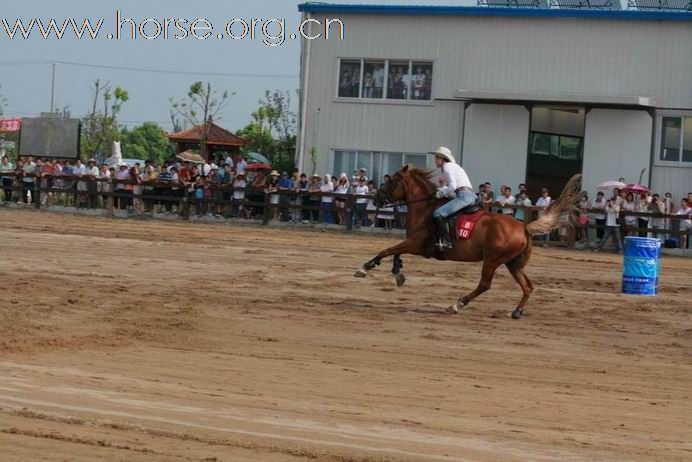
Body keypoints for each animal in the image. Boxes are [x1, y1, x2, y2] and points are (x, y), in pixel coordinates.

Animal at [354, 167, 580, 322]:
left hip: (492, 260)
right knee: (528, 286)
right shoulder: (415, 246)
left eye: (391, 181)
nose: (377, 197)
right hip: (513, 264)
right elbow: (395, 253)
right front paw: (398, 273)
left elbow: (387, 250)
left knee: (485, 285)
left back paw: (457, 304)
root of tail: (524, 227)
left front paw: (365, 268)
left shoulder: (416, 244)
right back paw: (516, 311)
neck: (425, 208)